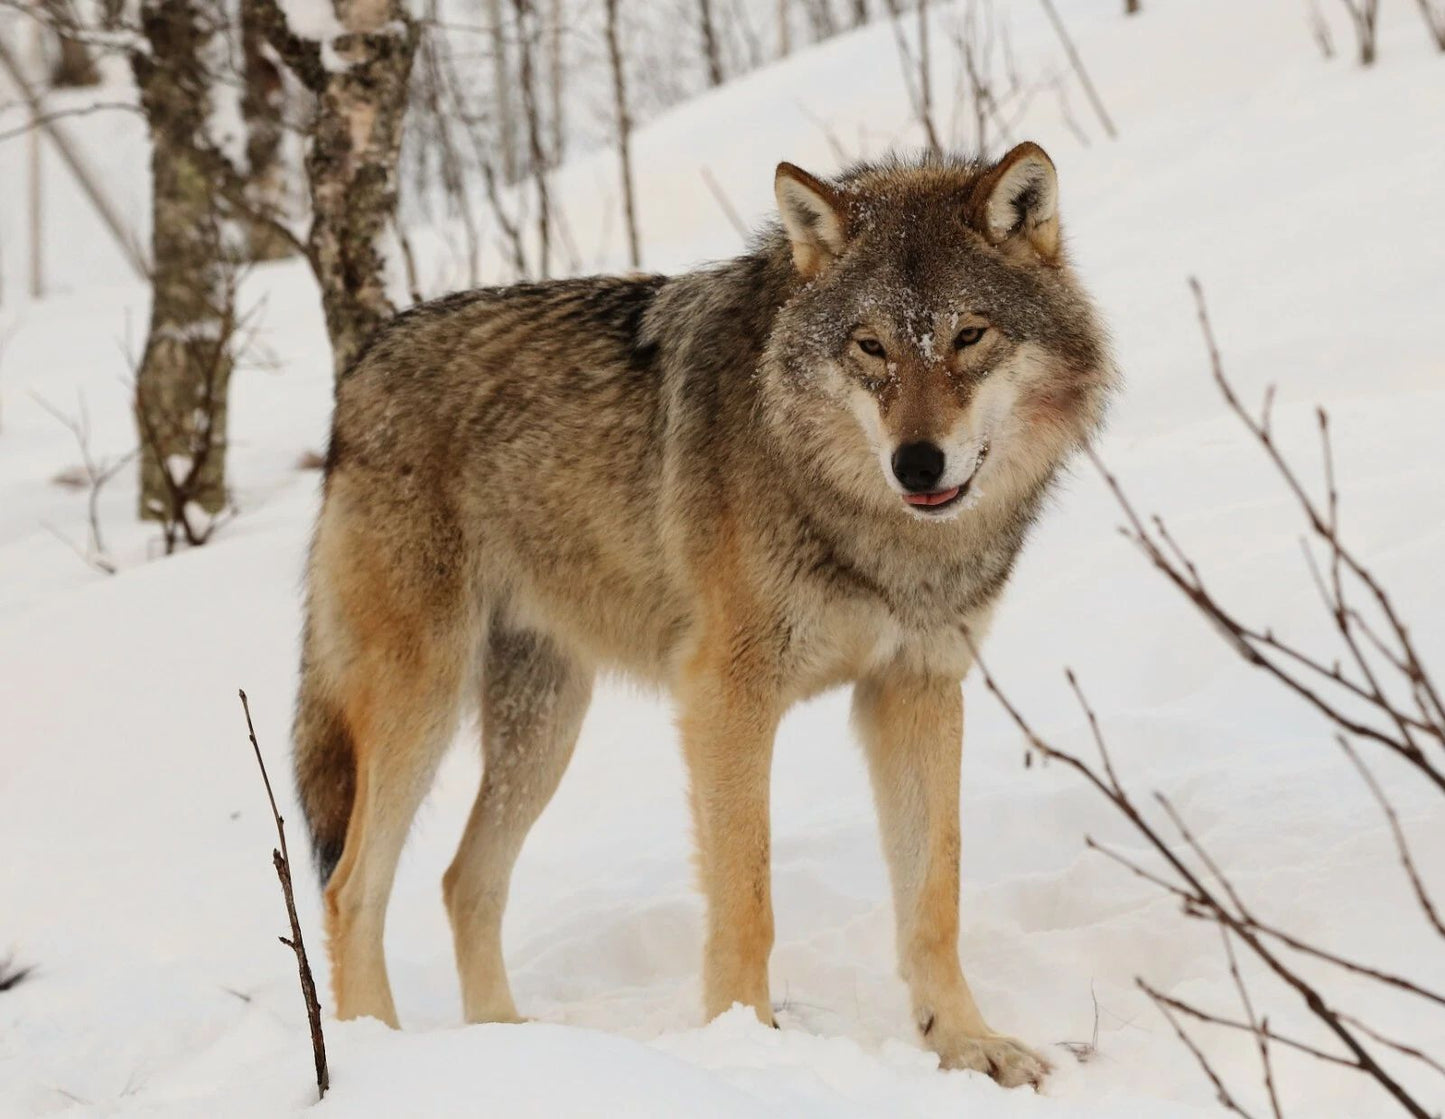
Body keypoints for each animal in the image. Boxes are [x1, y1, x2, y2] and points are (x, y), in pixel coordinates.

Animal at [294, 142, 1115, 1088]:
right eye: (870, 346)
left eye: (968, 335)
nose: (916, 463)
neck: (872, 528)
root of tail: (361, 364)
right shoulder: (726, 697)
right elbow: (747, 896)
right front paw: (745, 1046)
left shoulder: (914, 689)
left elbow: (932, 894)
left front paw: (966, 1042)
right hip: (420, 704)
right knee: (351, 885)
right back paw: (379, 1054)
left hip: (544, 725)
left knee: (465, 880)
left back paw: (513, 1046)